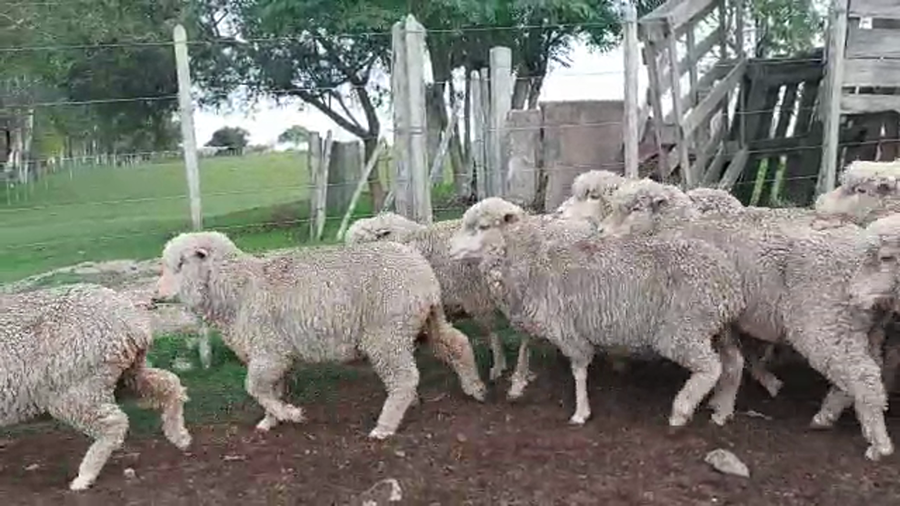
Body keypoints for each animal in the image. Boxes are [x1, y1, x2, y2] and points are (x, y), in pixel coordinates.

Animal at [0, 283, 191, 490]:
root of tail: (130, 322)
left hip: (77, 385)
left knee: (113, 422)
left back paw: (85, 476)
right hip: (125, 373)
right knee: (169, 383)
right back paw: (180, 436)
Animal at [153, 231, 486, 439]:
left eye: (181, 263)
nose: (155, 296)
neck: (239, 289)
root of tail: (424, 272)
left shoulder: (270, 350)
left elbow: (255, 387)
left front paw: (290, 414)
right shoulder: (275, 354)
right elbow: (270, 388)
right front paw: (271, 419)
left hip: (386, 333)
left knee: (404, 378)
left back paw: (385, 426)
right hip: (426, 320)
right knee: (457, 344)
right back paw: (475, 388)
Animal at [448, 197, 748, 428]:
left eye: (482, 227)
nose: (450, 250)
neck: (534, 263)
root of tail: (729, 284)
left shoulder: (567, 329)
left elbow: (579, 371)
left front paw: (581, 412)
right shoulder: (537, 319)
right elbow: (525, 347)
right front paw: (517, 385)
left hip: (682, 331)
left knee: (711, 367)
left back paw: (681, 411)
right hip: (717, 329)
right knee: (734, 363)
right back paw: (722, 410)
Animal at [602, 178, 894, 460]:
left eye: (635, 208)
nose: (602, 232)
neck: (679, 227)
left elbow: (730, 362)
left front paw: (718, 409)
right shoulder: (727, 320)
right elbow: (733, 361)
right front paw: (722, 402)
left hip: (824, 320)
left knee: (863, 375)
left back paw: (878, 444)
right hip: (863, 326)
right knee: (870, 369)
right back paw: (828, 414)